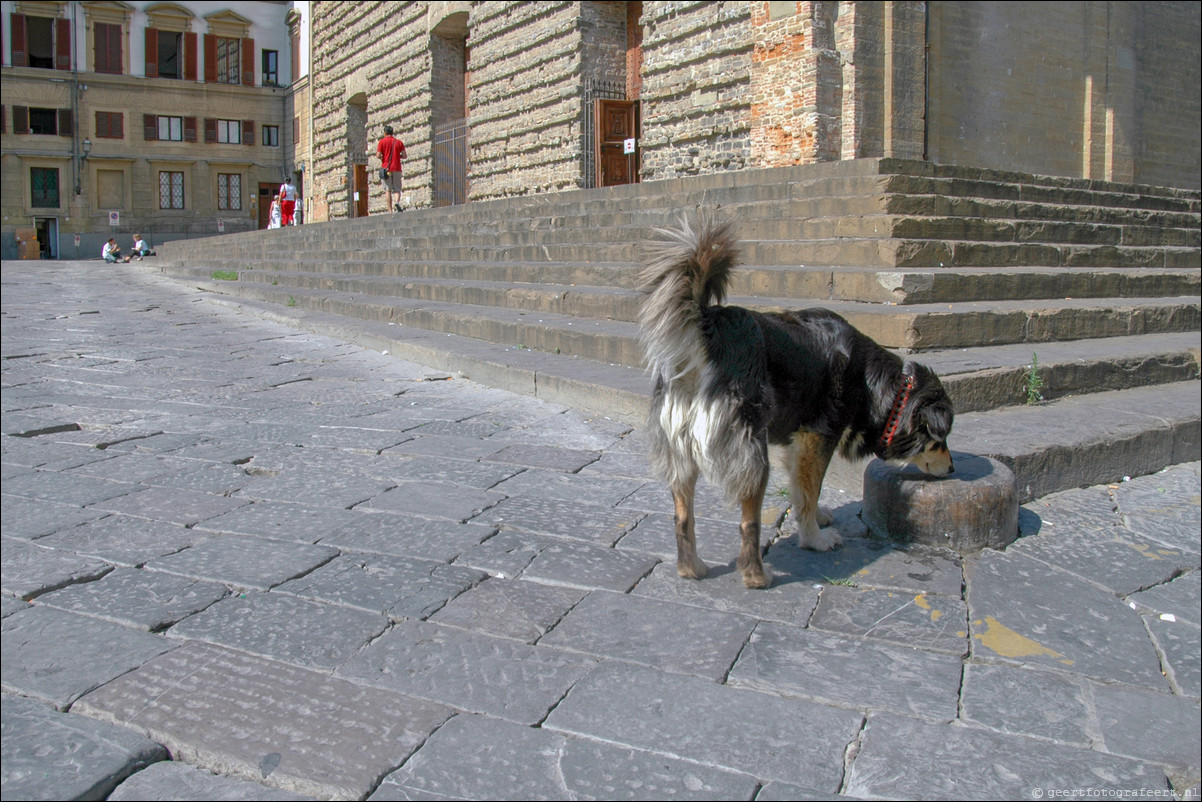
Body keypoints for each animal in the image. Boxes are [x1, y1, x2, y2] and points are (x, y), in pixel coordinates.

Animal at [639, 217, 956, 589]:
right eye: (940, 440)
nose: (953, 469)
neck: (877, 385)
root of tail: (709, 328)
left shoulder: (800, 443)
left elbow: (805, 489)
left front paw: (819, 517)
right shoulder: (819, 437)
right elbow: (808, 493)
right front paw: (814, 538)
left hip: (681, 451)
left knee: (683, 517)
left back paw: (691, 568)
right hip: (752, 454)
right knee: (748, 523)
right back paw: (756, 575)